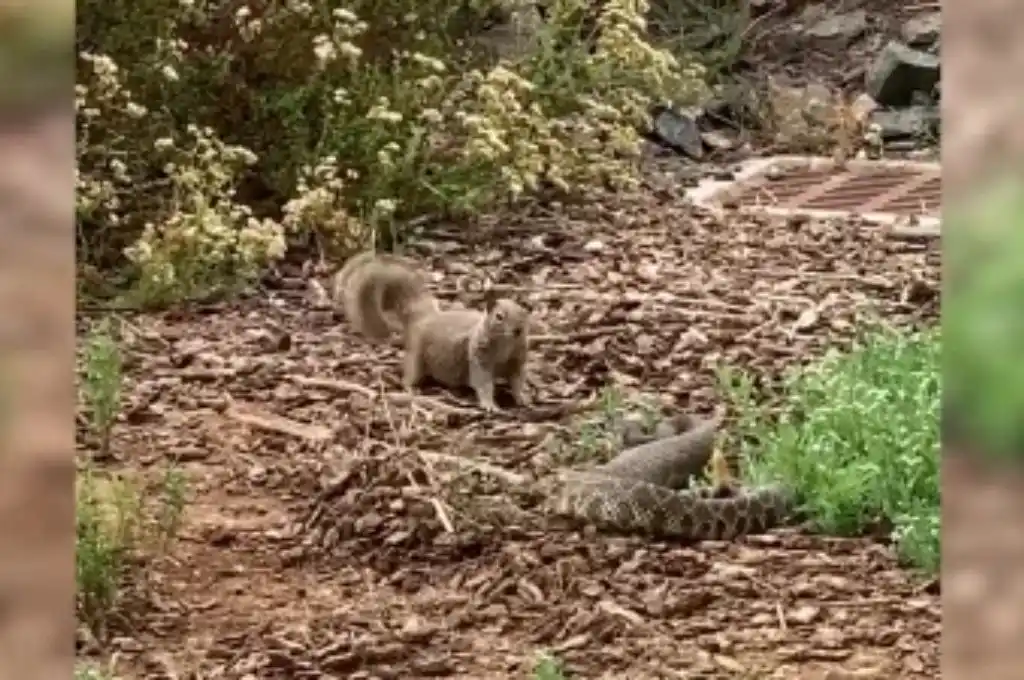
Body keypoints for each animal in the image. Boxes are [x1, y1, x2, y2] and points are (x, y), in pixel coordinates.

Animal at [332, 251, 531, 412]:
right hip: (417, 357)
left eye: (525, 313)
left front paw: (523, 398)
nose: (518, 330)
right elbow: (482, 382)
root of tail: (423, 319)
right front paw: (489, 404)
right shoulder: (478, 357)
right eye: (499, 316)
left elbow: (517, 381)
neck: (505, 343)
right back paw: (411, 389)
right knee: (410, 374)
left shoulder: (516, 361)